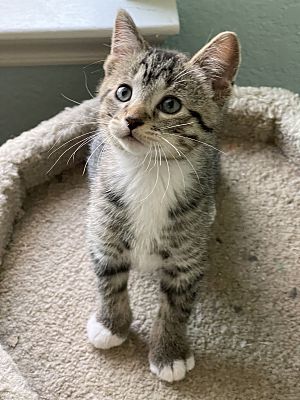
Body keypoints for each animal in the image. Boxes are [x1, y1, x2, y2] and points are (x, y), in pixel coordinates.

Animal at [85, 9, 240, 382]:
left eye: (171, 104)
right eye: (123, 93)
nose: (130, 119)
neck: (147, 174)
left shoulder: (187, 258)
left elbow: (176, 306)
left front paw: (169, 352)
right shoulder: (103, 232)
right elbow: (109, 281)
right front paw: (111, 325)